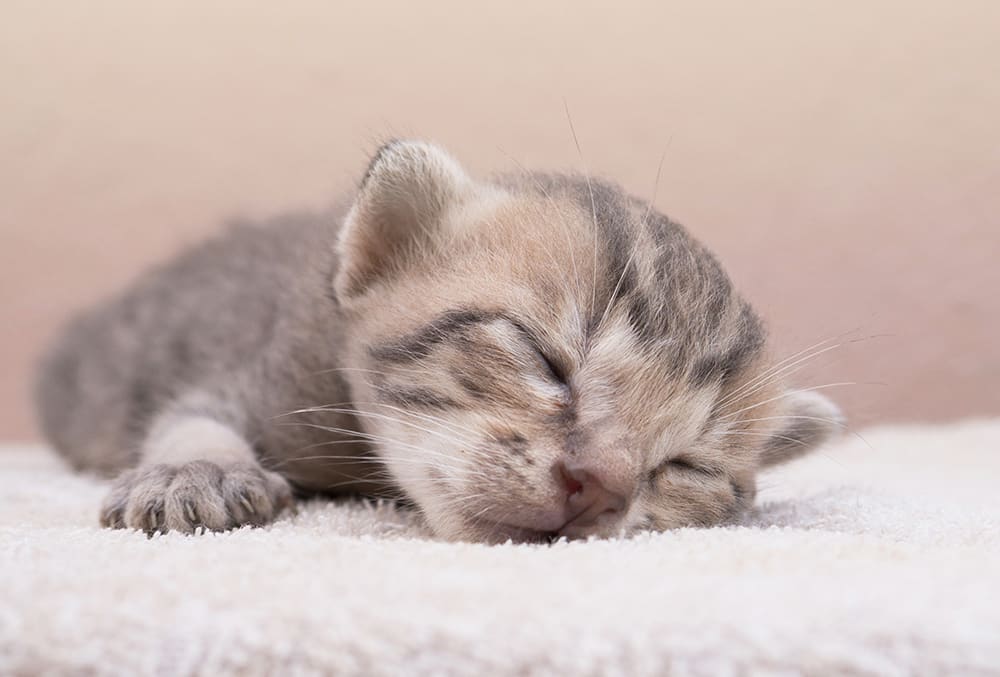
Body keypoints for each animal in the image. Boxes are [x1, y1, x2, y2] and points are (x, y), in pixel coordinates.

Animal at [33, 140, 844, 540]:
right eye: (545, 360)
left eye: (689, 466)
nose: (603, 488)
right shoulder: (258, 369)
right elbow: (191, 416)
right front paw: (190, 472)